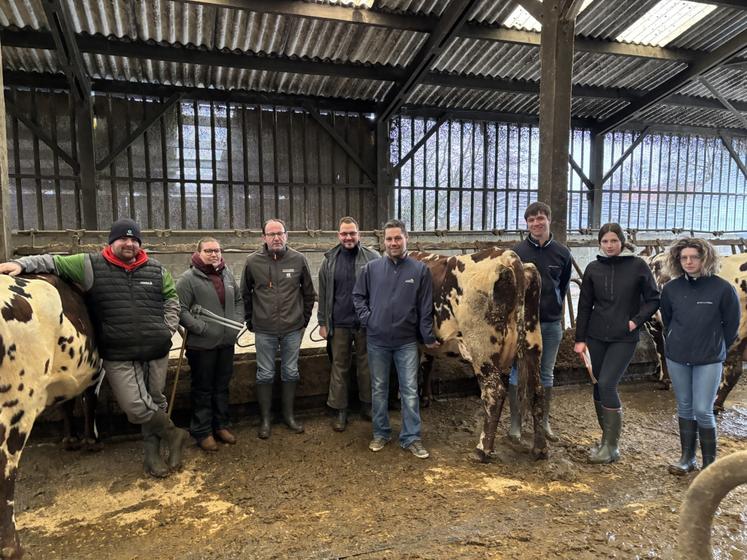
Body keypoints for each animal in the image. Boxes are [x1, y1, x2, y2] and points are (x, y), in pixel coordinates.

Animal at [0, 274, 101, 560]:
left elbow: (73, 404)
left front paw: (73, 439)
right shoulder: (95, 372)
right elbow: (88, 401)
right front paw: (88, 440)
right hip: (18, 403)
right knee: (6, 468)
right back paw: (12, 547)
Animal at [412, 247, 548, 462]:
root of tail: (508, 256)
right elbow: (427, 365)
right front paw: (425, 398)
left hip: (482, 349)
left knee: (494, 392)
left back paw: (482, 449)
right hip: (532, 344)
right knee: (537, 391)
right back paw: (540, 449)